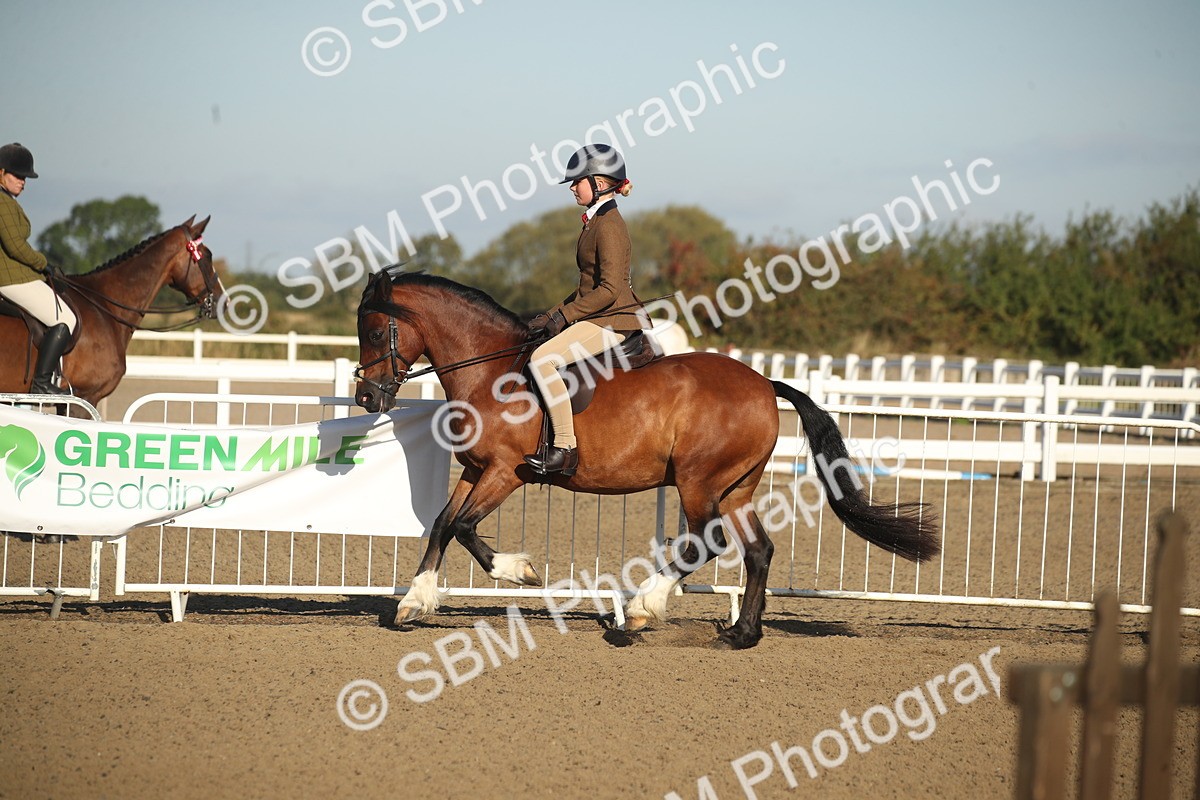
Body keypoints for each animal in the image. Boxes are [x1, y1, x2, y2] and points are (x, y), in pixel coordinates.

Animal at [354, 267, 940, 649]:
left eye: (374, 330)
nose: (365, 397)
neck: (492, 371)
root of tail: (762, 383)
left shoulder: (503, 472)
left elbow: (465, 527)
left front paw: (518, 570)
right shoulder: (476, 470)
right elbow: (442, 523)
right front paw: (413, 602)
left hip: (699, 480)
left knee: (706, 543)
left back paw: (639, 612)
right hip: (736, 488)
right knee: (758, 550)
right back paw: (741, 634)